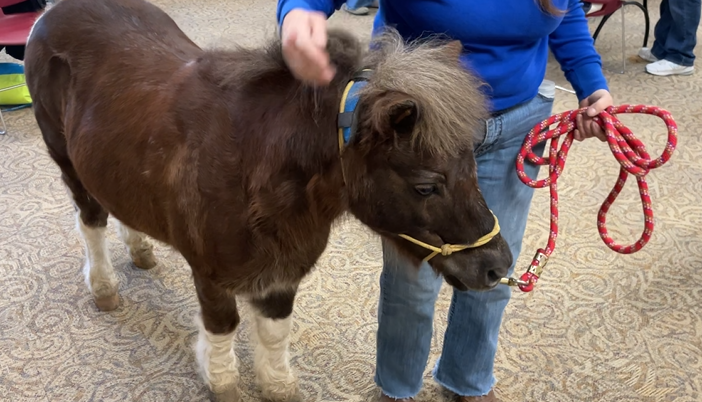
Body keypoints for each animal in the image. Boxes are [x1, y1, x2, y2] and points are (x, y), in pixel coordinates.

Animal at [23, 0, 513, 400]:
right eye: (426, 186)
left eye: (474, 166)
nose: (498, 266)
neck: (254, 167)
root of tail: (53, 12)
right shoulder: (211, 273)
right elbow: (222, 328)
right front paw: (222, 382)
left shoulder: (282, 272)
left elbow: (275, 334)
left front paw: (277, 384)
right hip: (66, 159)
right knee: (91, 220)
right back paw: (104, 288)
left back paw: (141, 249)